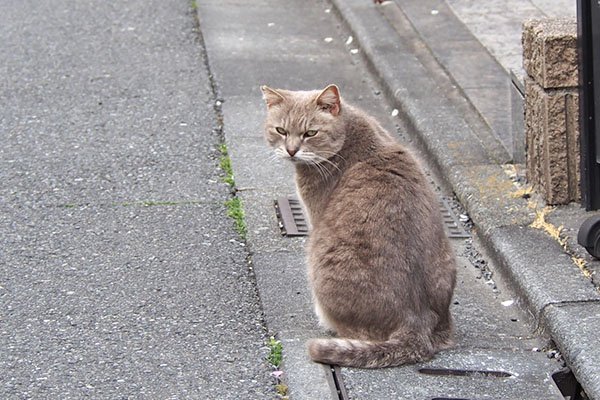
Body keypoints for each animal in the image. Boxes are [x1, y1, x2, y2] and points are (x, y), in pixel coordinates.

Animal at [262, 85, 454, 368]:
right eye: (281, 130)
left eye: (310, 133)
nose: (291, 150)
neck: (350, 132)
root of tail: (416, 322)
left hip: (320, 259)